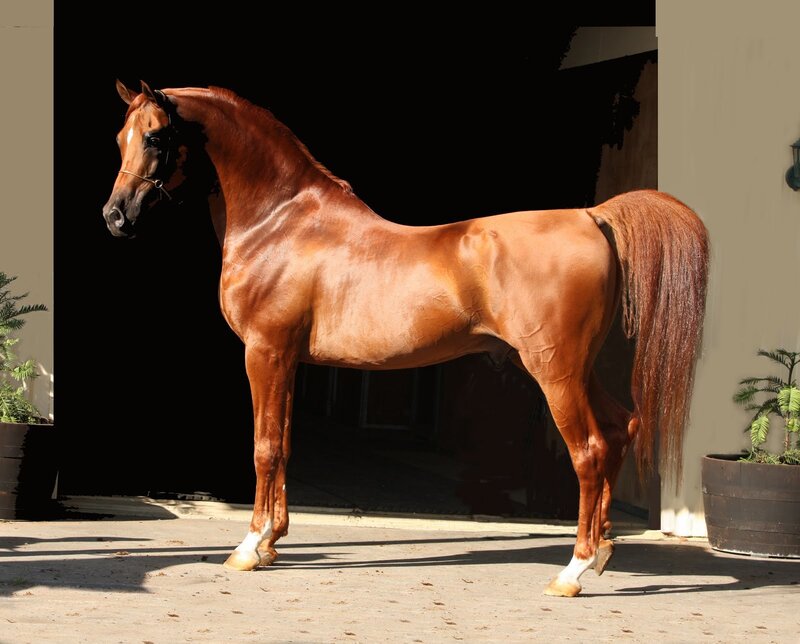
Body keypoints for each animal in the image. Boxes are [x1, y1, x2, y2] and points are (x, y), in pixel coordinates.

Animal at [101, 80, 709, 597]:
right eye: (121, 137)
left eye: (155, 137)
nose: (115, 217)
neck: (281, 223)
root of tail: (591, 216)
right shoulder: (290, 361)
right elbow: (287, 445)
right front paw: (273, 541)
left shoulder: (266, 352)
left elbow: (265, 447)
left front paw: (250, 547)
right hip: (572, 368)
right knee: (620, 428)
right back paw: (603, 551)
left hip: (553, 369)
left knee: (589, 450)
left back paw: (573, 570)